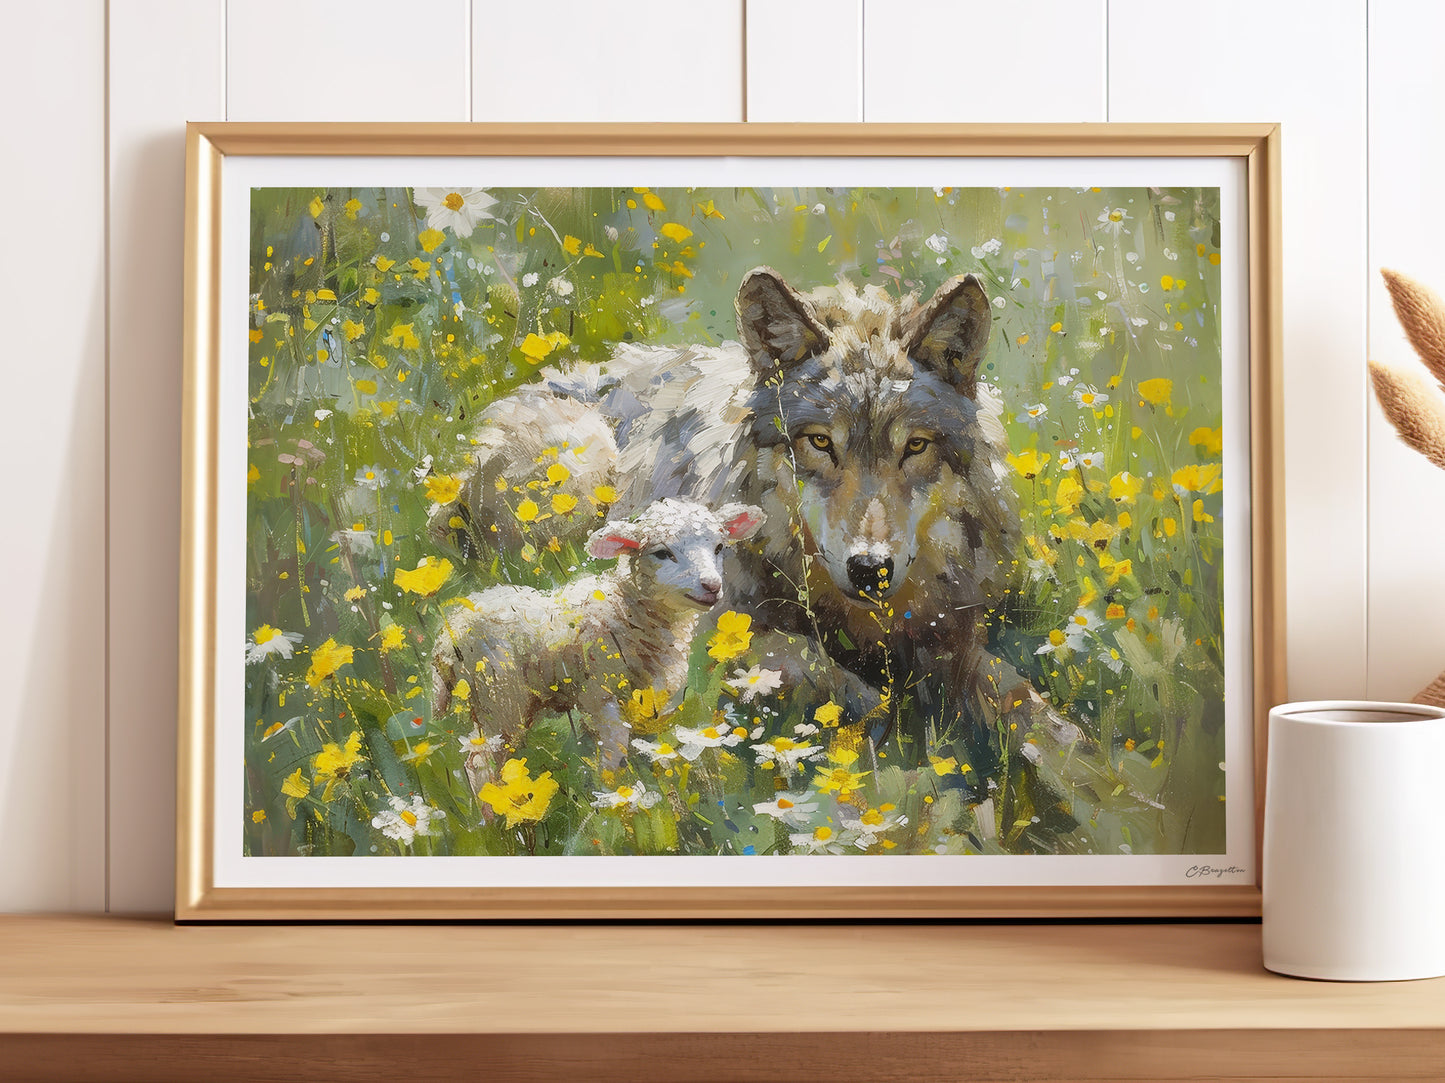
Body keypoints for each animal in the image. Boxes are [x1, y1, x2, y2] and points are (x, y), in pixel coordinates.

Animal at [433, 498, 765, 796]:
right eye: (661, 553)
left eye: (719, 547)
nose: (712, 586)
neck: (624, 611)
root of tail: (447, 637)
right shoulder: (598, 693)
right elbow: (613, 751)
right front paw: (614, 797)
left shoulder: (661, 698)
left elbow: (660, 745)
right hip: (500, 694)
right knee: (479, 762)